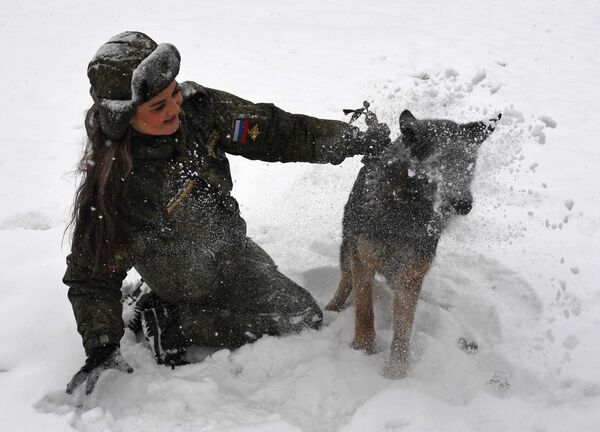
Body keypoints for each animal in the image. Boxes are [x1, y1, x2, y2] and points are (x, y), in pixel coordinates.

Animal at [326, 109, 500, 378]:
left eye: (468, 165)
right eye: (439, 161)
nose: (464, 204)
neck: (406, 211)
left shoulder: (411, 274)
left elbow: (403, 328)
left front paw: (396, 372)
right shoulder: (363, 258)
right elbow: (364, 310)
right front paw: (363, 349)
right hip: (348, 245)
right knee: (346, 279)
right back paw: (332, 307)